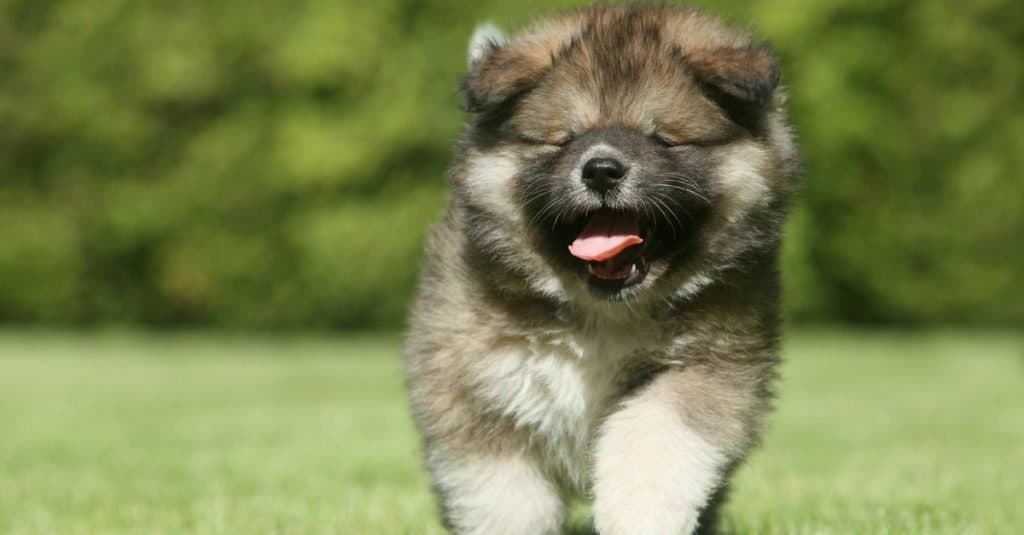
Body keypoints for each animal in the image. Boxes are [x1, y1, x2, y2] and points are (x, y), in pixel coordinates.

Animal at [405, 5, 798, 532]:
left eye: (661, 138)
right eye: (565, 138)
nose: (601, 170)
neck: (602, 315)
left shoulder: (705, 369)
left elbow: (652, 447)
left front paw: (638, 518)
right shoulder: (473, 389)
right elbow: (504, 497)